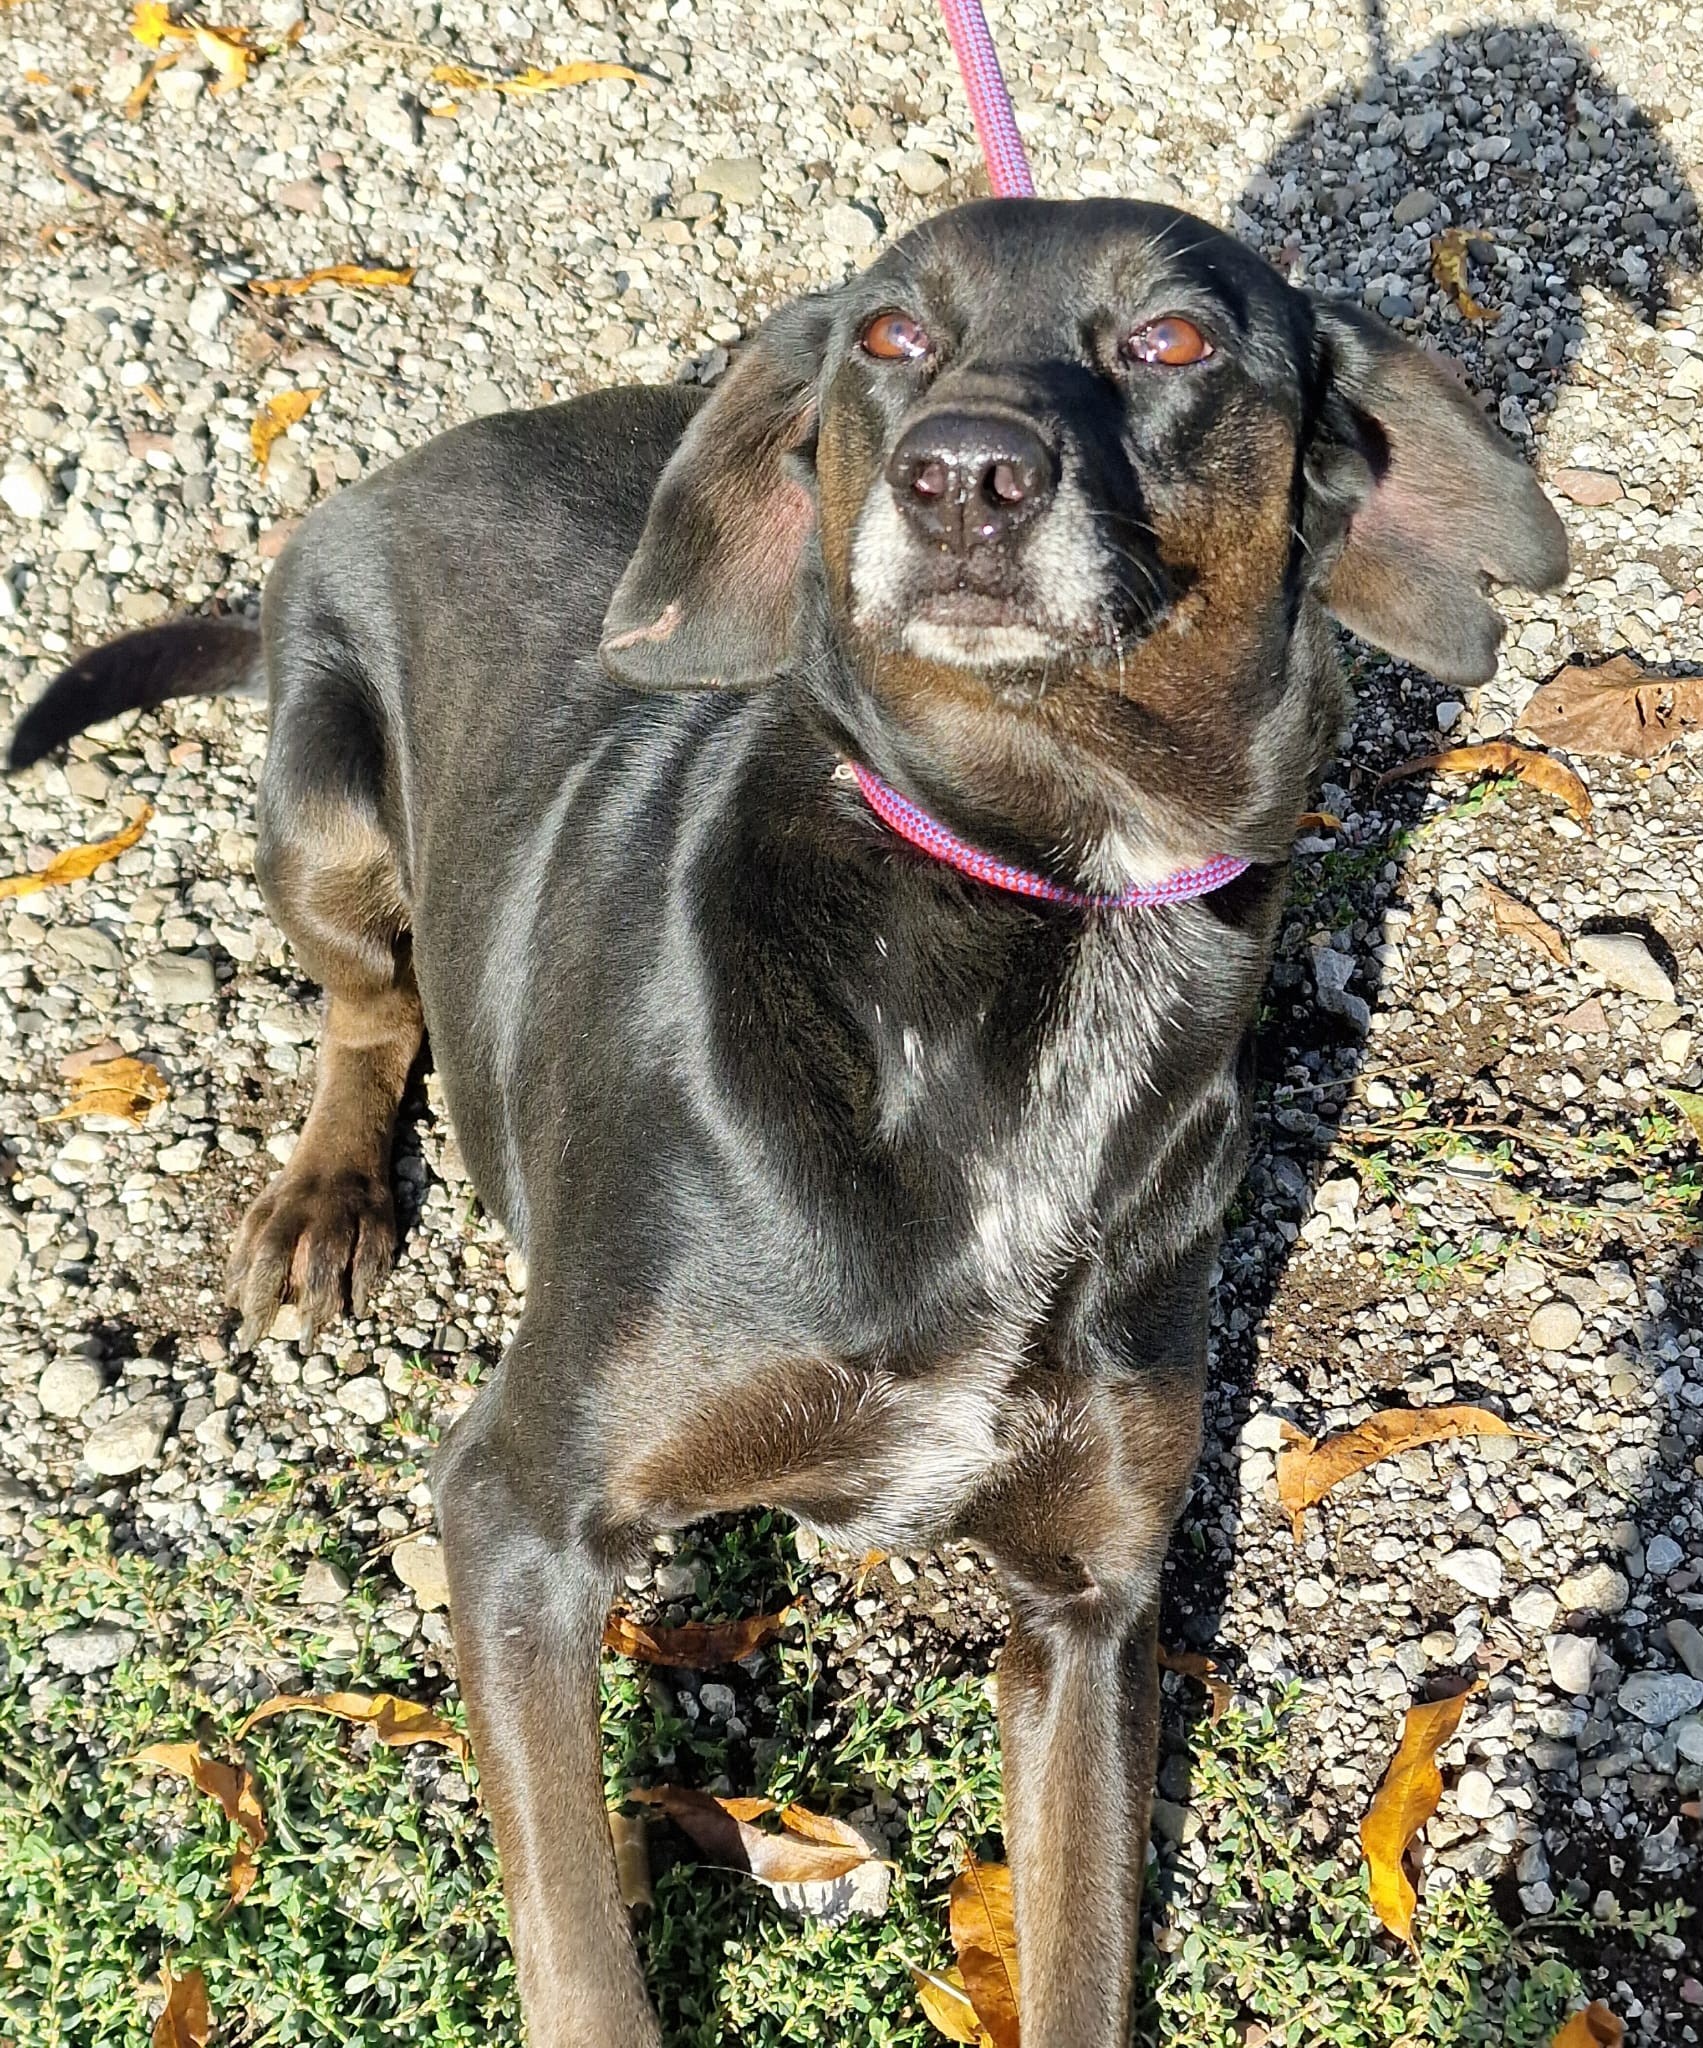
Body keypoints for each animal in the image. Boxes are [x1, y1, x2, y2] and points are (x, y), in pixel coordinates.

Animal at [9, 198, 1565, 2048]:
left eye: (1172, 340)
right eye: (889, 335)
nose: (961, 474)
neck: (1046, 892)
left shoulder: (1090, 1608)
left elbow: (1080, 1950)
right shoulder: (518, 1510)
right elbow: (579, 1956)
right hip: (321, 805)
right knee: (369, 1005)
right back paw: (324, 1198)